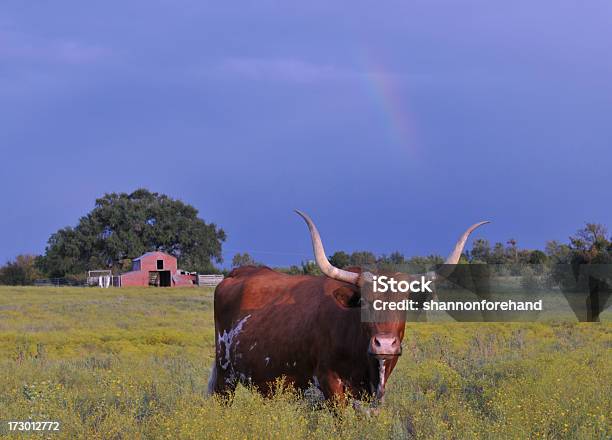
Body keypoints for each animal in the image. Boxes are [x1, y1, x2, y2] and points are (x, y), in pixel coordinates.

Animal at [209, 211, 488, 404]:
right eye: (364, 302)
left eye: (403, 303)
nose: (385, 344)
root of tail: (238, 272)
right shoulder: (330, 384)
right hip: (225, 374)